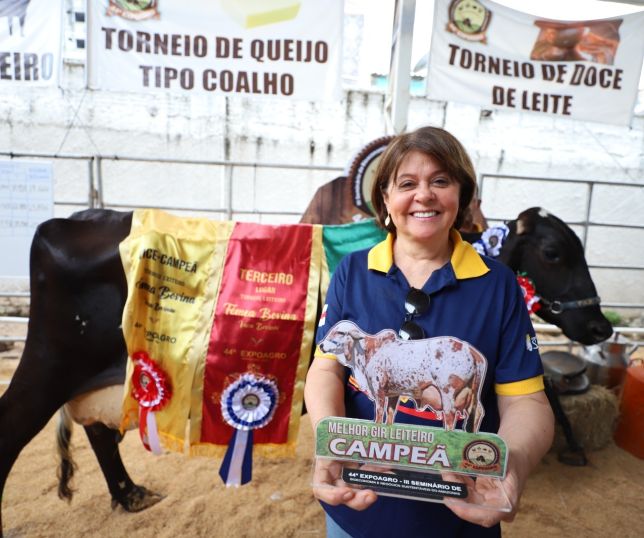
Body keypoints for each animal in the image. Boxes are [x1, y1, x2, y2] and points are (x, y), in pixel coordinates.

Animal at [319, 321, 486, 432]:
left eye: (340, 333)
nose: (320, 345)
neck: (366, 352)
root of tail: (473, 352)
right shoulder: (394, 393)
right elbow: (390, 414)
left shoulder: (379, 389)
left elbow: (379, 412)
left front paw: (377, 428)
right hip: (471, 394)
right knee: (477, 412)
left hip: (448, 392)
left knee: (450, 416)